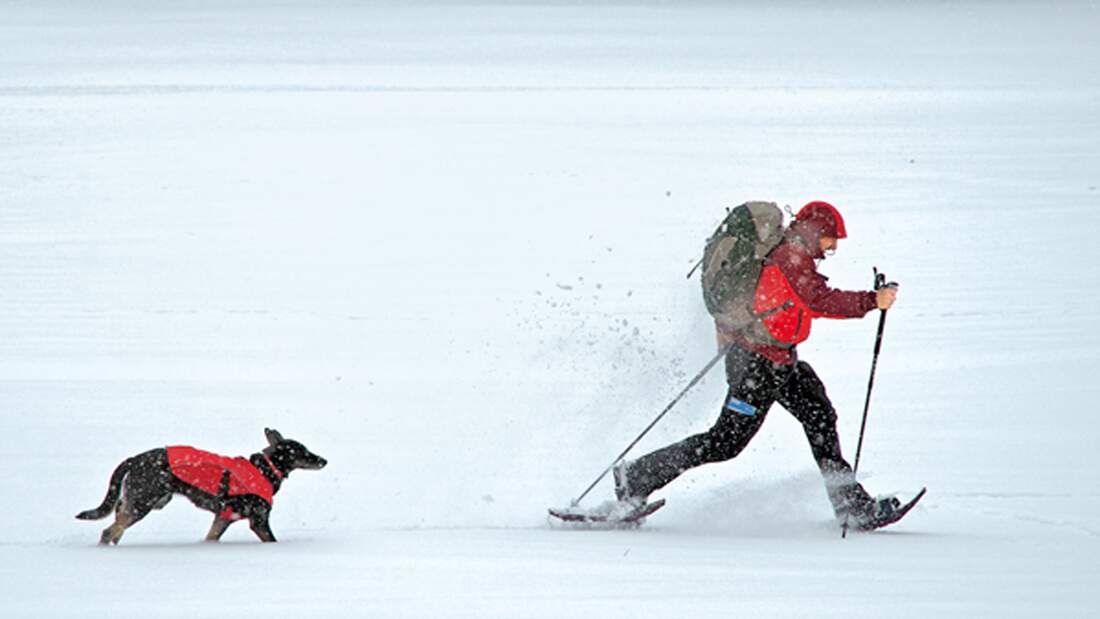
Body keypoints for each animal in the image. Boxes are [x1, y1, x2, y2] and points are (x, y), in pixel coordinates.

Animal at [76, 428, 325, 545]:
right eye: (303, 451)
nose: (324, 460)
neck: (265, 470)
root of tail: (134, 459)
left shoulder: (222, 518)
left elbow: (210, 538)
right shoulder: (259, 521)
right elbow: (271, 540)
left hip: (137, 503)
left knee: (116, 529)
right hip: (142, 503)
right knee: (108, 532)